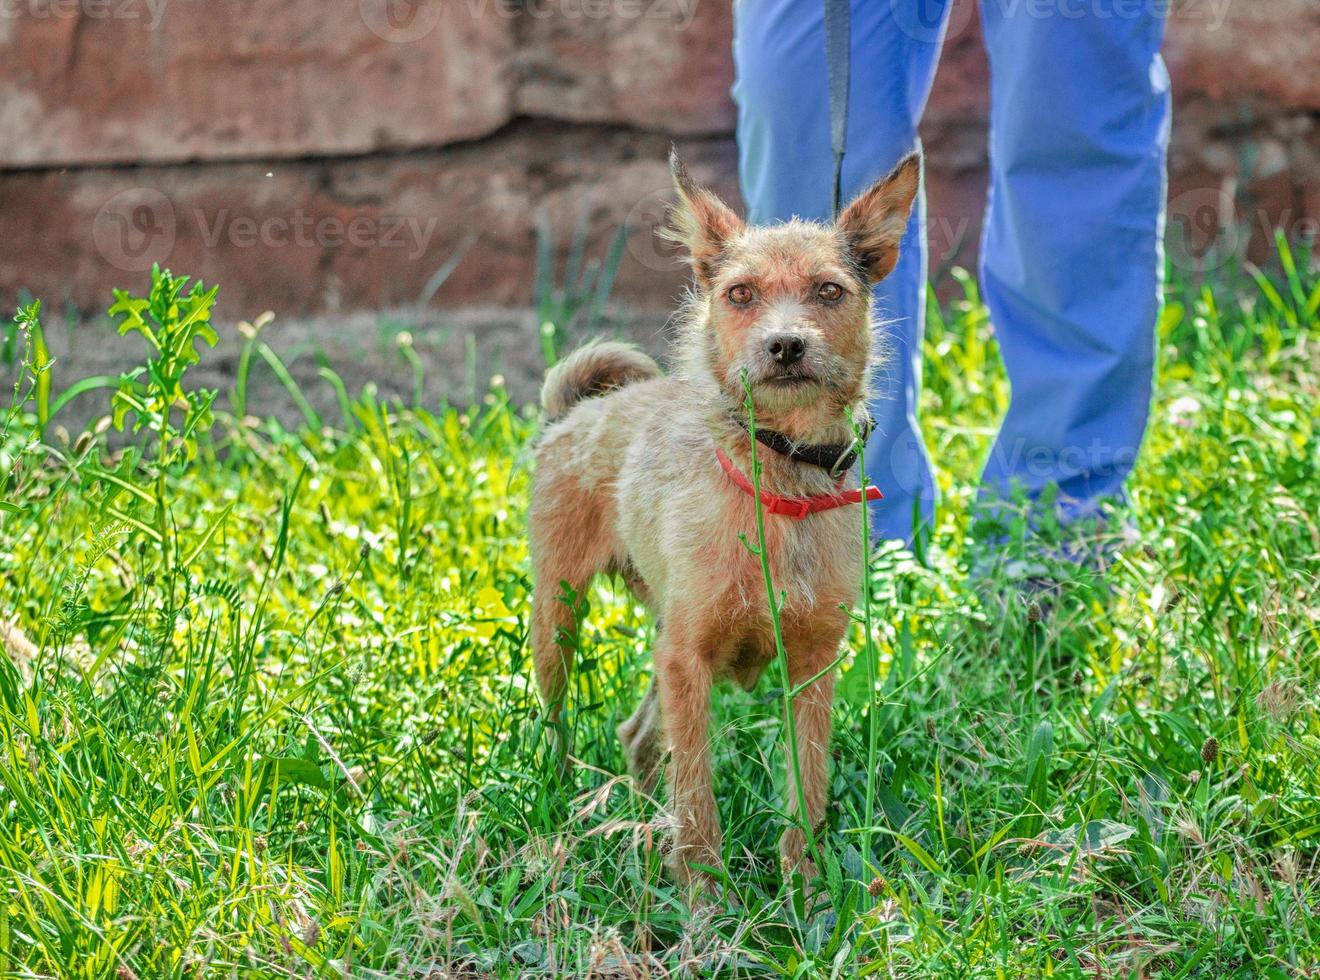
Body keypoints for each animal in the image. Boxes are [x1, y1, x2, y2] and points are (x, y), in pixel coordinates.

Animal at [525, 149, 918, 892]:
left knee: (639, 737)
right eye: (739, 295)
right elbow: (699, 797)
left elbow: (806, 786)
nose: (786, 345)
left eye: (829, 291)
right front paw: (704, 898)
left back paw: (639, 818)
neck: (781, 484)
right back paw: (561, 800)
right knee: (560, 724)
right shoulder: (688, 659)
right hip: (559, 618)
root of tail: (580, 411)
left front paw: (805, 891)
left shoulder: (811, 668)